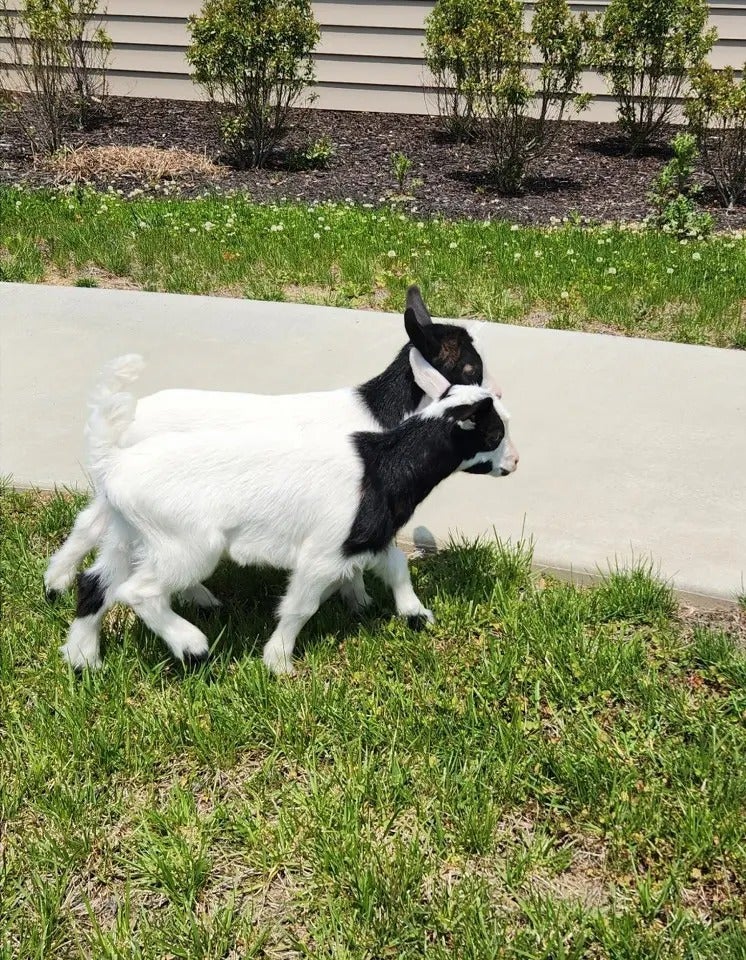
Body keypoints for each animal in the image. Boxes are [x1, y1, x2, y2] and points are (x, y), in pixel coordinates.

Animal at [45, 286, 502, 613]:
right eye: (469, 368)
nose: (495, 399)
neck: (383, 413)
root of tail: (130, 419)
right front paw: (358, 600)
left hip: (119, 496)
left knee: (89, 524)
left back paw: (57, 583)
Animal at [61, 350, 518, 675]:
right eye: (495, 432)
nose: (514, 463)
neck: (384, 464)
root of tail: (115, 463)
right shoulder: (323, 553)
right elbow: (300, 606)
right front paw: (278, 662)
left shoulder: (365, 535)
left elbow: (397, 565)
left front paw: (415, 614)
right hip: (187, 543)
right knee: (138, 592)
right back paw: (191, 645)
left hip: (129, 532)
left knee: (96, 583)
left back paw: (84, 659)